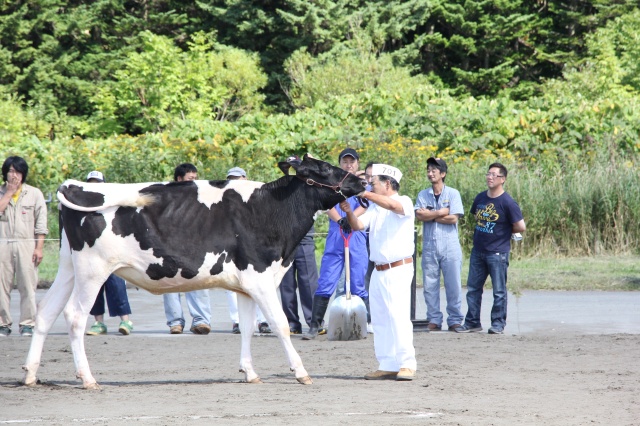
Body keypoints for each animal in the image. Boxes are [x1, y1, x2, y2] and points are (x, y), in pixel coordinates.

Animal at [21, 155, 364, 388]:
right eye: (324, 169)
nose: (360, 181)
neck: (270, 209)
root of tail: (75, 186)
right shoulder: (261, 279)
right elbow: (280, 325)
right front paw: (301, 372)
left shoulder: (246, 285)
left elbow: (249, 327)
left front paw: (250, 372)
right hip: (93, 270)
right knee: (75, 316)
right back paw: (87, 378)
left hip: (69, 266)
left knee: (46, 312)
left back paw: (31, 374)